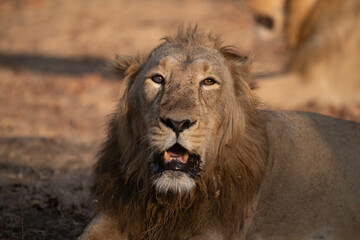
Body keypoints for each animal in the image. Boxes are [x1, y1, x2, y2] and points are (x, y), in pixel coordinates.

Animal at [79, 26, 360, 240]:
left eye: (208, 82)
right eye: (157, 79)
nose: (177, 123)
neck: (168, 202)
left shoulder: (215, 229)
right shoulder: (114, 213)